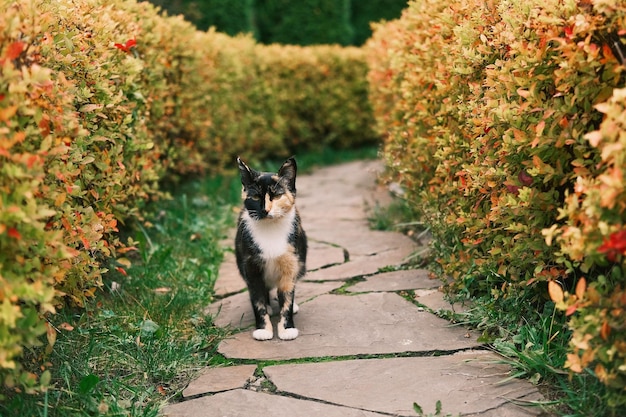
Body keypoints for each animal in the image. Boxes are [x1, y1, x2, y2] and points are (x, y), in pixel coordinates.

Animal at [233, 154, 306, 340]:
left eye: (277, 196)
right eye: (255, 197)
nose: (265, 210)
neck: (270, 228)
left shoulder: (291, 261)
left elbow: (287, 297)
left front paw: (287, 328)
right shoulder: (250, 265)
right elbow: (257, 299)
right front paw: (263, 329)